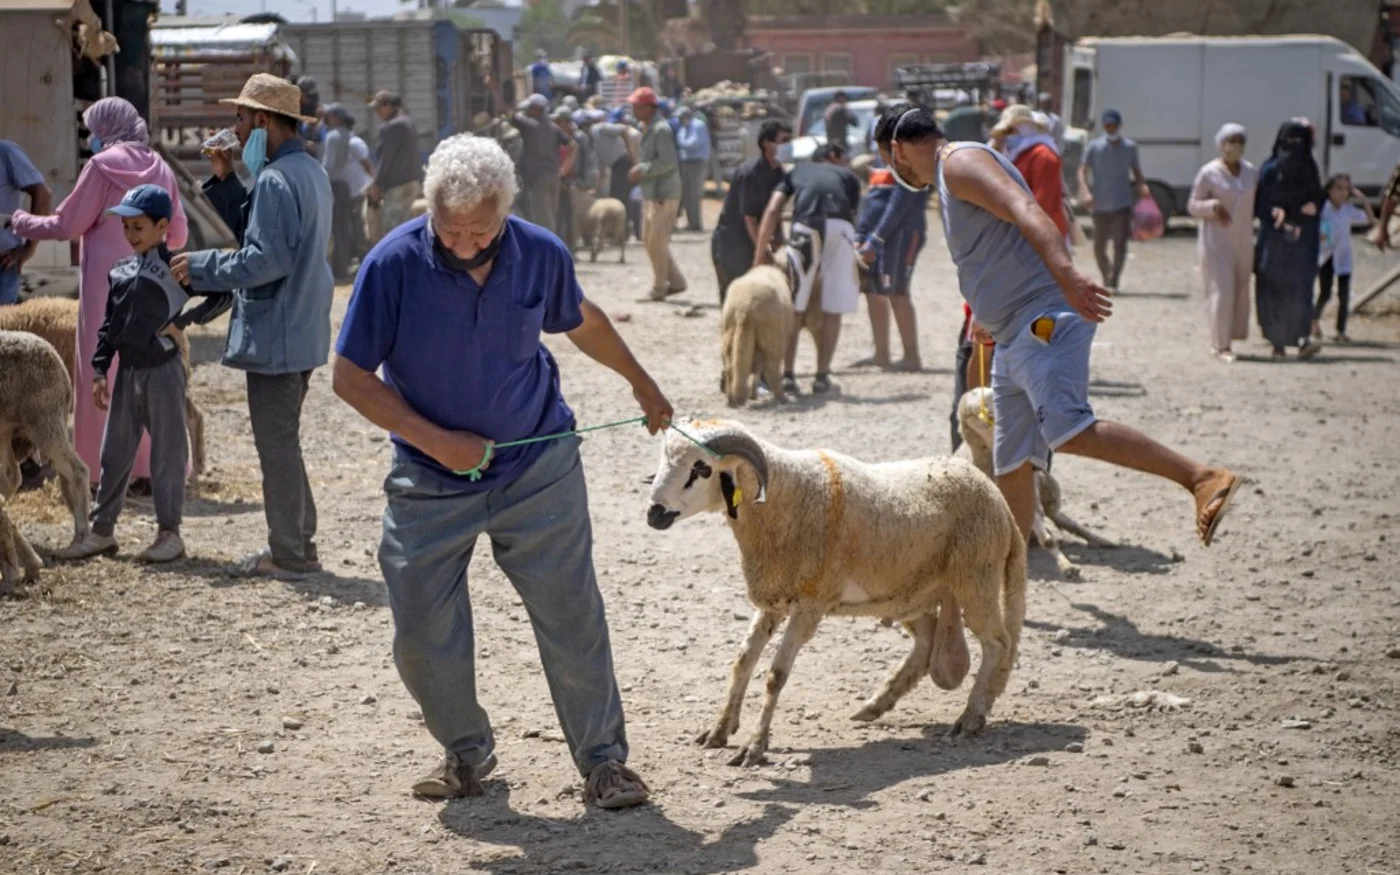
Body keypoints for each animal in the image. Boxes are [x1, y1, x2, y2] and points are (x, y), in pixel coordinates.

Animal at [646, 420, 1026, 766]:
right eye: (664, 459)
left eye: (701, 468)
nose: (654, 514)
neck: (788, 497)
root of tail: (1001, 503)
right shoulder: (773, 599)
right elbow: (742, 662)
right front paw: (719, 731)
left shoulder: (809, 606)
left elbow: (774, 677)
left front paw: (754, 747)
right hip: (909, 594)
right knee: (928, 639)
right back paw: (874, 705)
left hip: (976, 581)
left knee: (998, 643)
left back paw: (970, 719)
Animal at [720, 266, 794, 407]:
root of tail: (745, 307)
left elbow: (757, 368)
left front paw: (753, 394)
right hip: (772, 337)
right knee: (771, 370)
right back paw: (782, 398)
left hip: (730, 332)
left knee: (730, 368)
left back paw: (731, 400)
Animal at [956, 386, 1116, 580]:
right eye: (973, 414)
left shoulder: (1031, 498)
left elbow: (1048, 540)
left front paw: (1068, 567)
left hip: (1048, 495)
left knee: (1067, 522)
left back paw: (1102, 541)